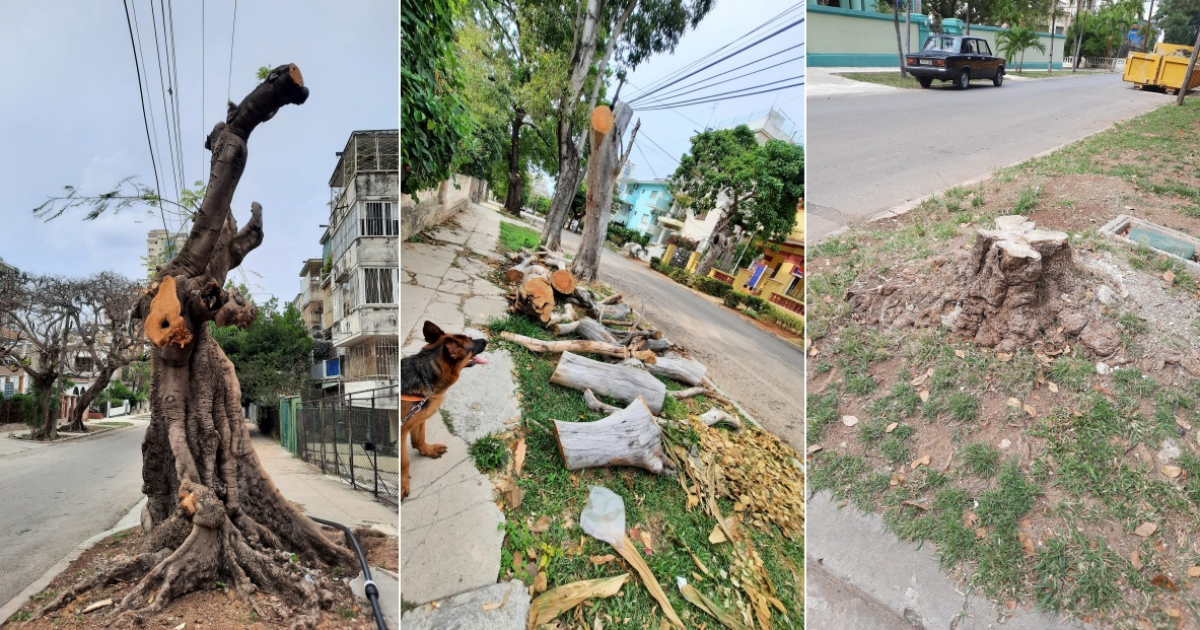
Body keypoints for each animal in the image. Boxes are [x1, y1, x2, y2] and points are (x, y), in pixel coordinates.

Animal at [403, 321, 487, 499]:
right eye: (471, 343)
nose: (485, 340)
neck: (424, 377)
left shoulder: (419, 418)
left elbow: (419, 439)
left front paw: (427, 451)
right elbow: (404, 461)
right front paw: (403, 484)